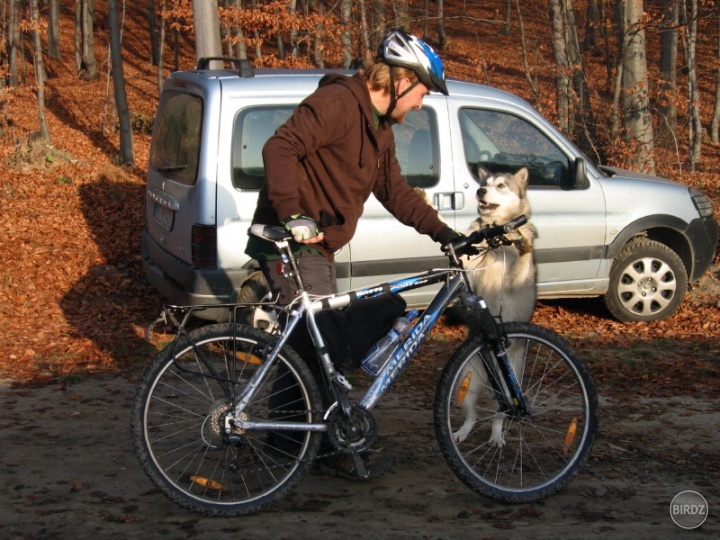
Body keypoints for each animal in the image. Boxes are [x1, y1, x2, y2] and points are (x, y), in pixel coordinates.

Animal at [456, 167, 536, 446]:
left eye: (500, 185)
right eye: (485, 183)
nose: (480, 191)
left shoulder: (515, 279)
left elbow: (521, 260)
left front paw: (523, 246)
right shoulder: (470, 268)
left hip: (507, 385)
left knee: (499, 415)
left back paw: (497, 437)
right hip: (467, 384)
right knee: (471, 414)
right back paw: (461, 432)